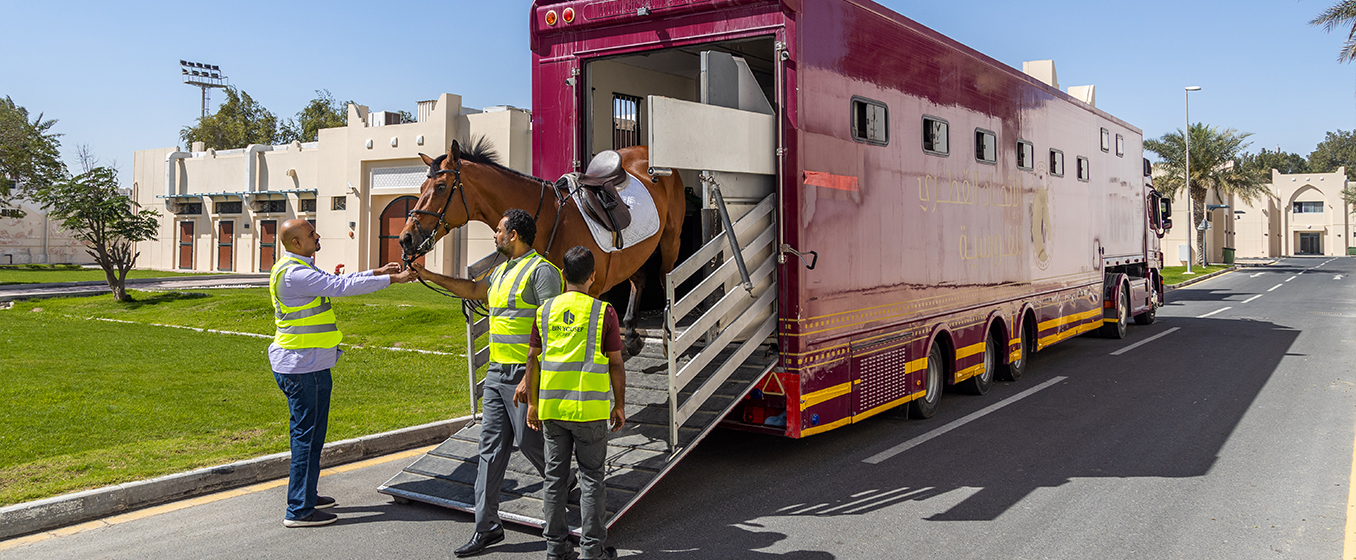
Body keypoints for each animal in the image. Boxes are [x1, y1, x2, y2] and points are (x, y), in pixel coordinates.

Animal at [395, 138, 683, 352]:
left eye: (441, 187)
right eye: (421, 187)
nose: (405, 238)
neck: (550, 219)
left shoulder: (590, 291)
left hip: (670, 240)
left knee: (663, 277)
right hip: (634, 252)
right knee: (640, 278)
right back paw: (632, 332)